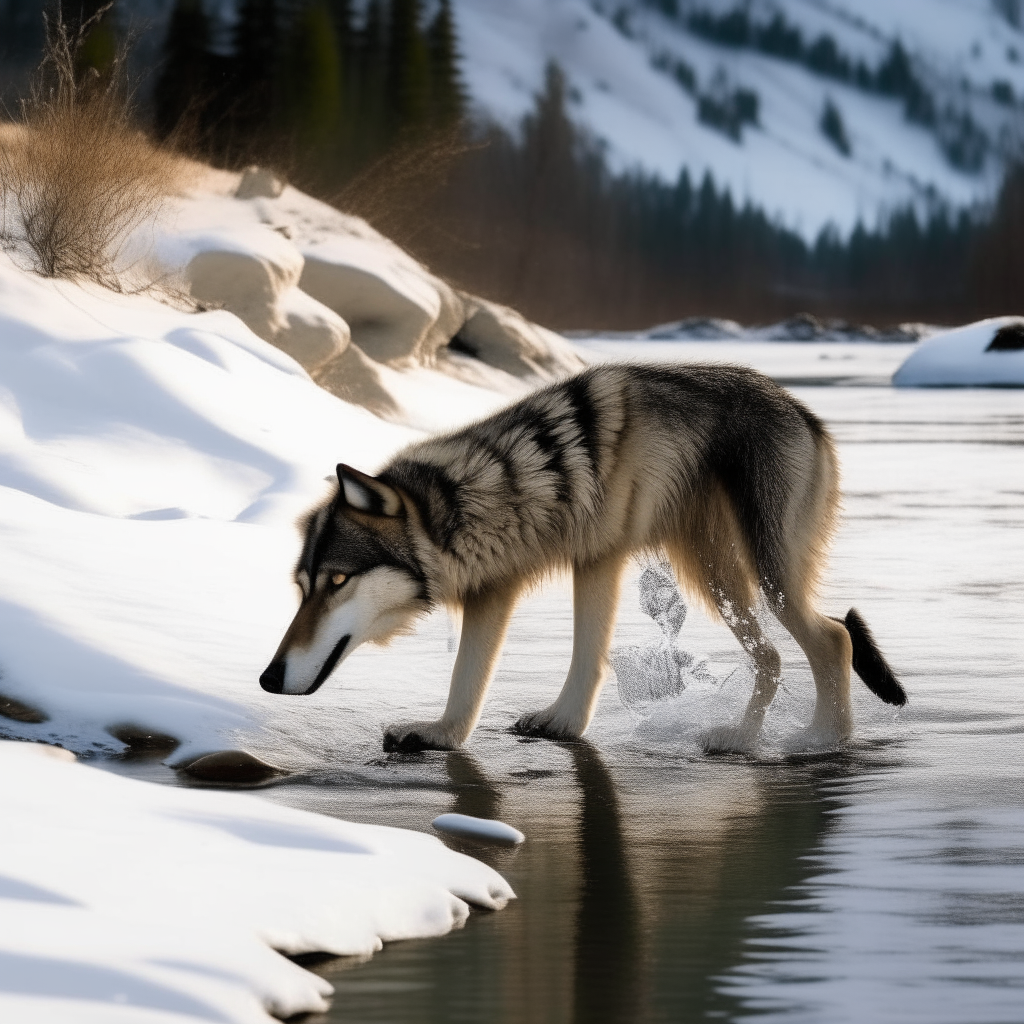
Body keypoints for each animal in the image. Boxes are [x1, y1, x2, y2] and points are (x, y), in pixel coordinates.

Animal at [262, 362, 905, 753]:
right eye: (302, 588)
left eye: (338, 580)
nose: (267, 678)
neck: (490, 492)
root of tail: (805, 412)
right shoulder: (499, 587)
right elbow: (470, 678)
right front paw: (442, 734)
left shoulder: (598, 557)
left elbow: (584, 655)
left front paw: (563, 724)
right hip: (715, 575)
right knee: (775, 654)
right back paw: (743, 738)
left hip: (762, 575)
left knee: (832, 638)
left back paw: (820, 741)